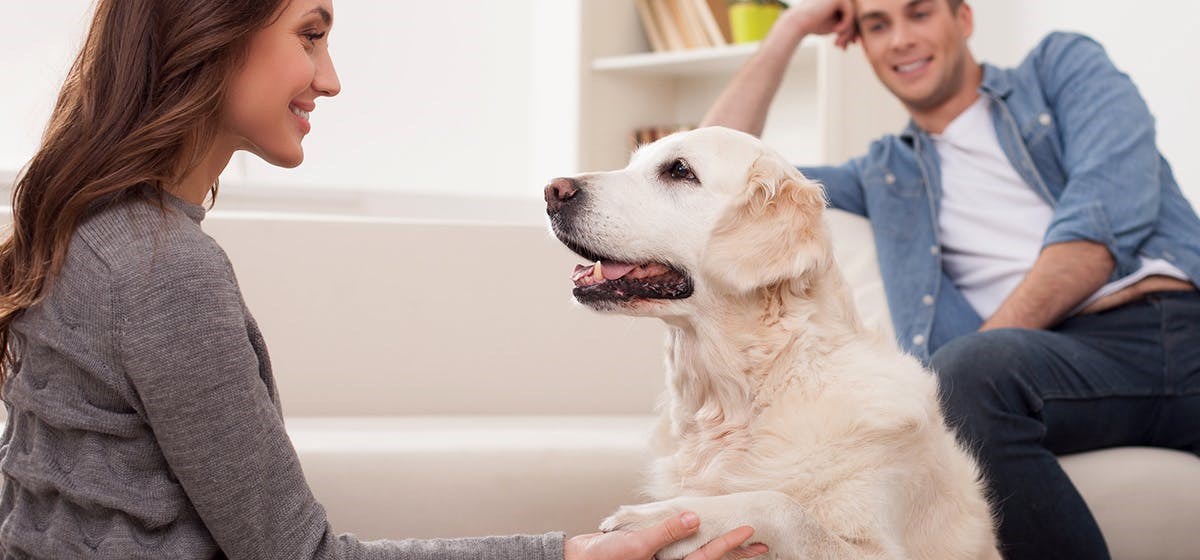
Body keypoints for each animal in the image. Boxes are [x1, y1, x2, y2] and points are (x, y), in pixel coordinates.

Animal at [549, 128, 998, 560]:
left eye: (679, 170)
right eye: (633, 163)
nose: (552, 190)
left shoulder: (878, 548)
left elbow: (779, 505)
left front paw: (661, 517)